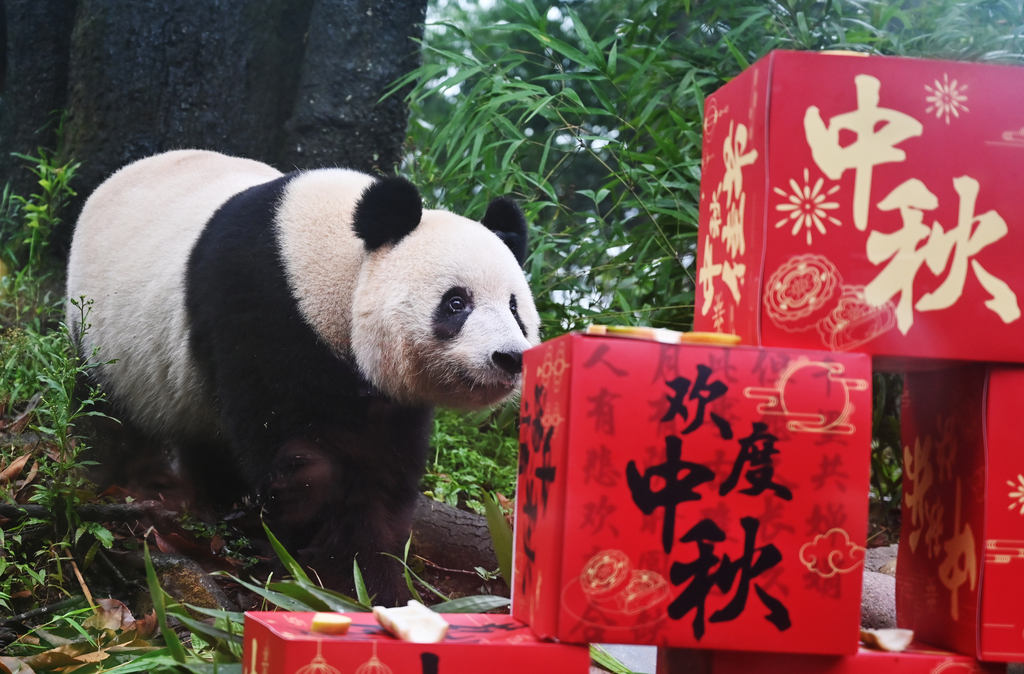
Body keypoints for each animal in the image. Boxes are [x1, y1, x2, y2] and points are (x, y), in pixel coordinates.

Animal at [67, 149, 540, 602]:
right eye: (456, 303)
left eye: (514, 307)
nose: (509, 358)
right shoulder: (267, 310)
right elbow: (313, 470)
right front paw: (357, 580)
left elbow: (386, 467)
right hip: (104, 335)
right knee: (104, 412)